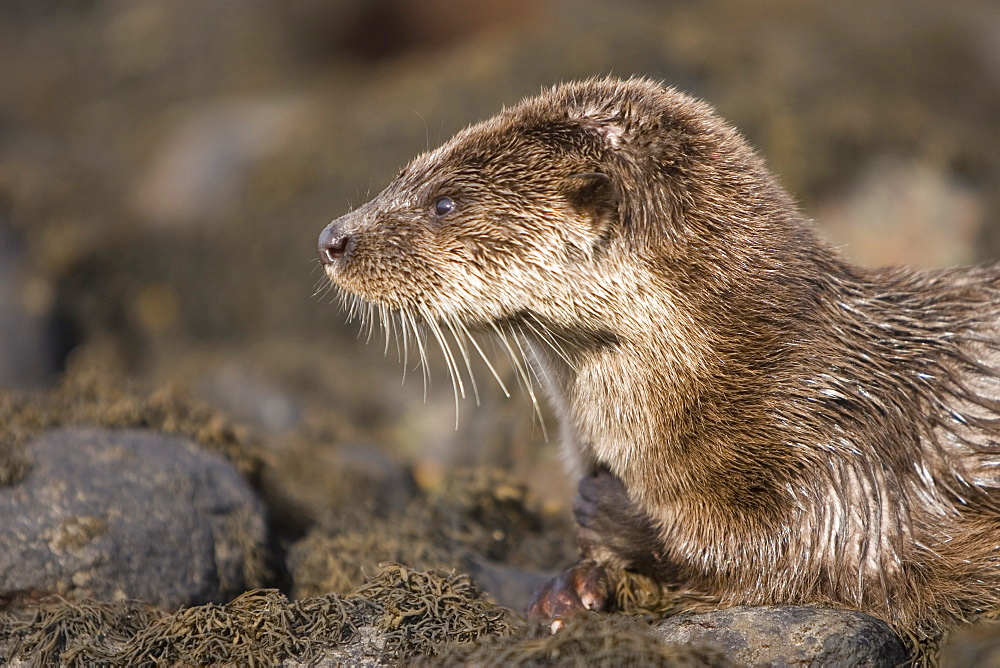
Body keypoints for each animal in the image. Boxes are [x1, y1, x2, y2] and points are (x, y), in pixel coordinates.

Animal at [316, 75, 1000, 640]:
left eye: (445, 203)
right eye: (406, 171)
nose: (331, 237)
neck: (745, 379)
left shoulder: (844, 459)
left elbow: (819, 559)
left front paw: (610, 519)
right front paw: (572, 585)